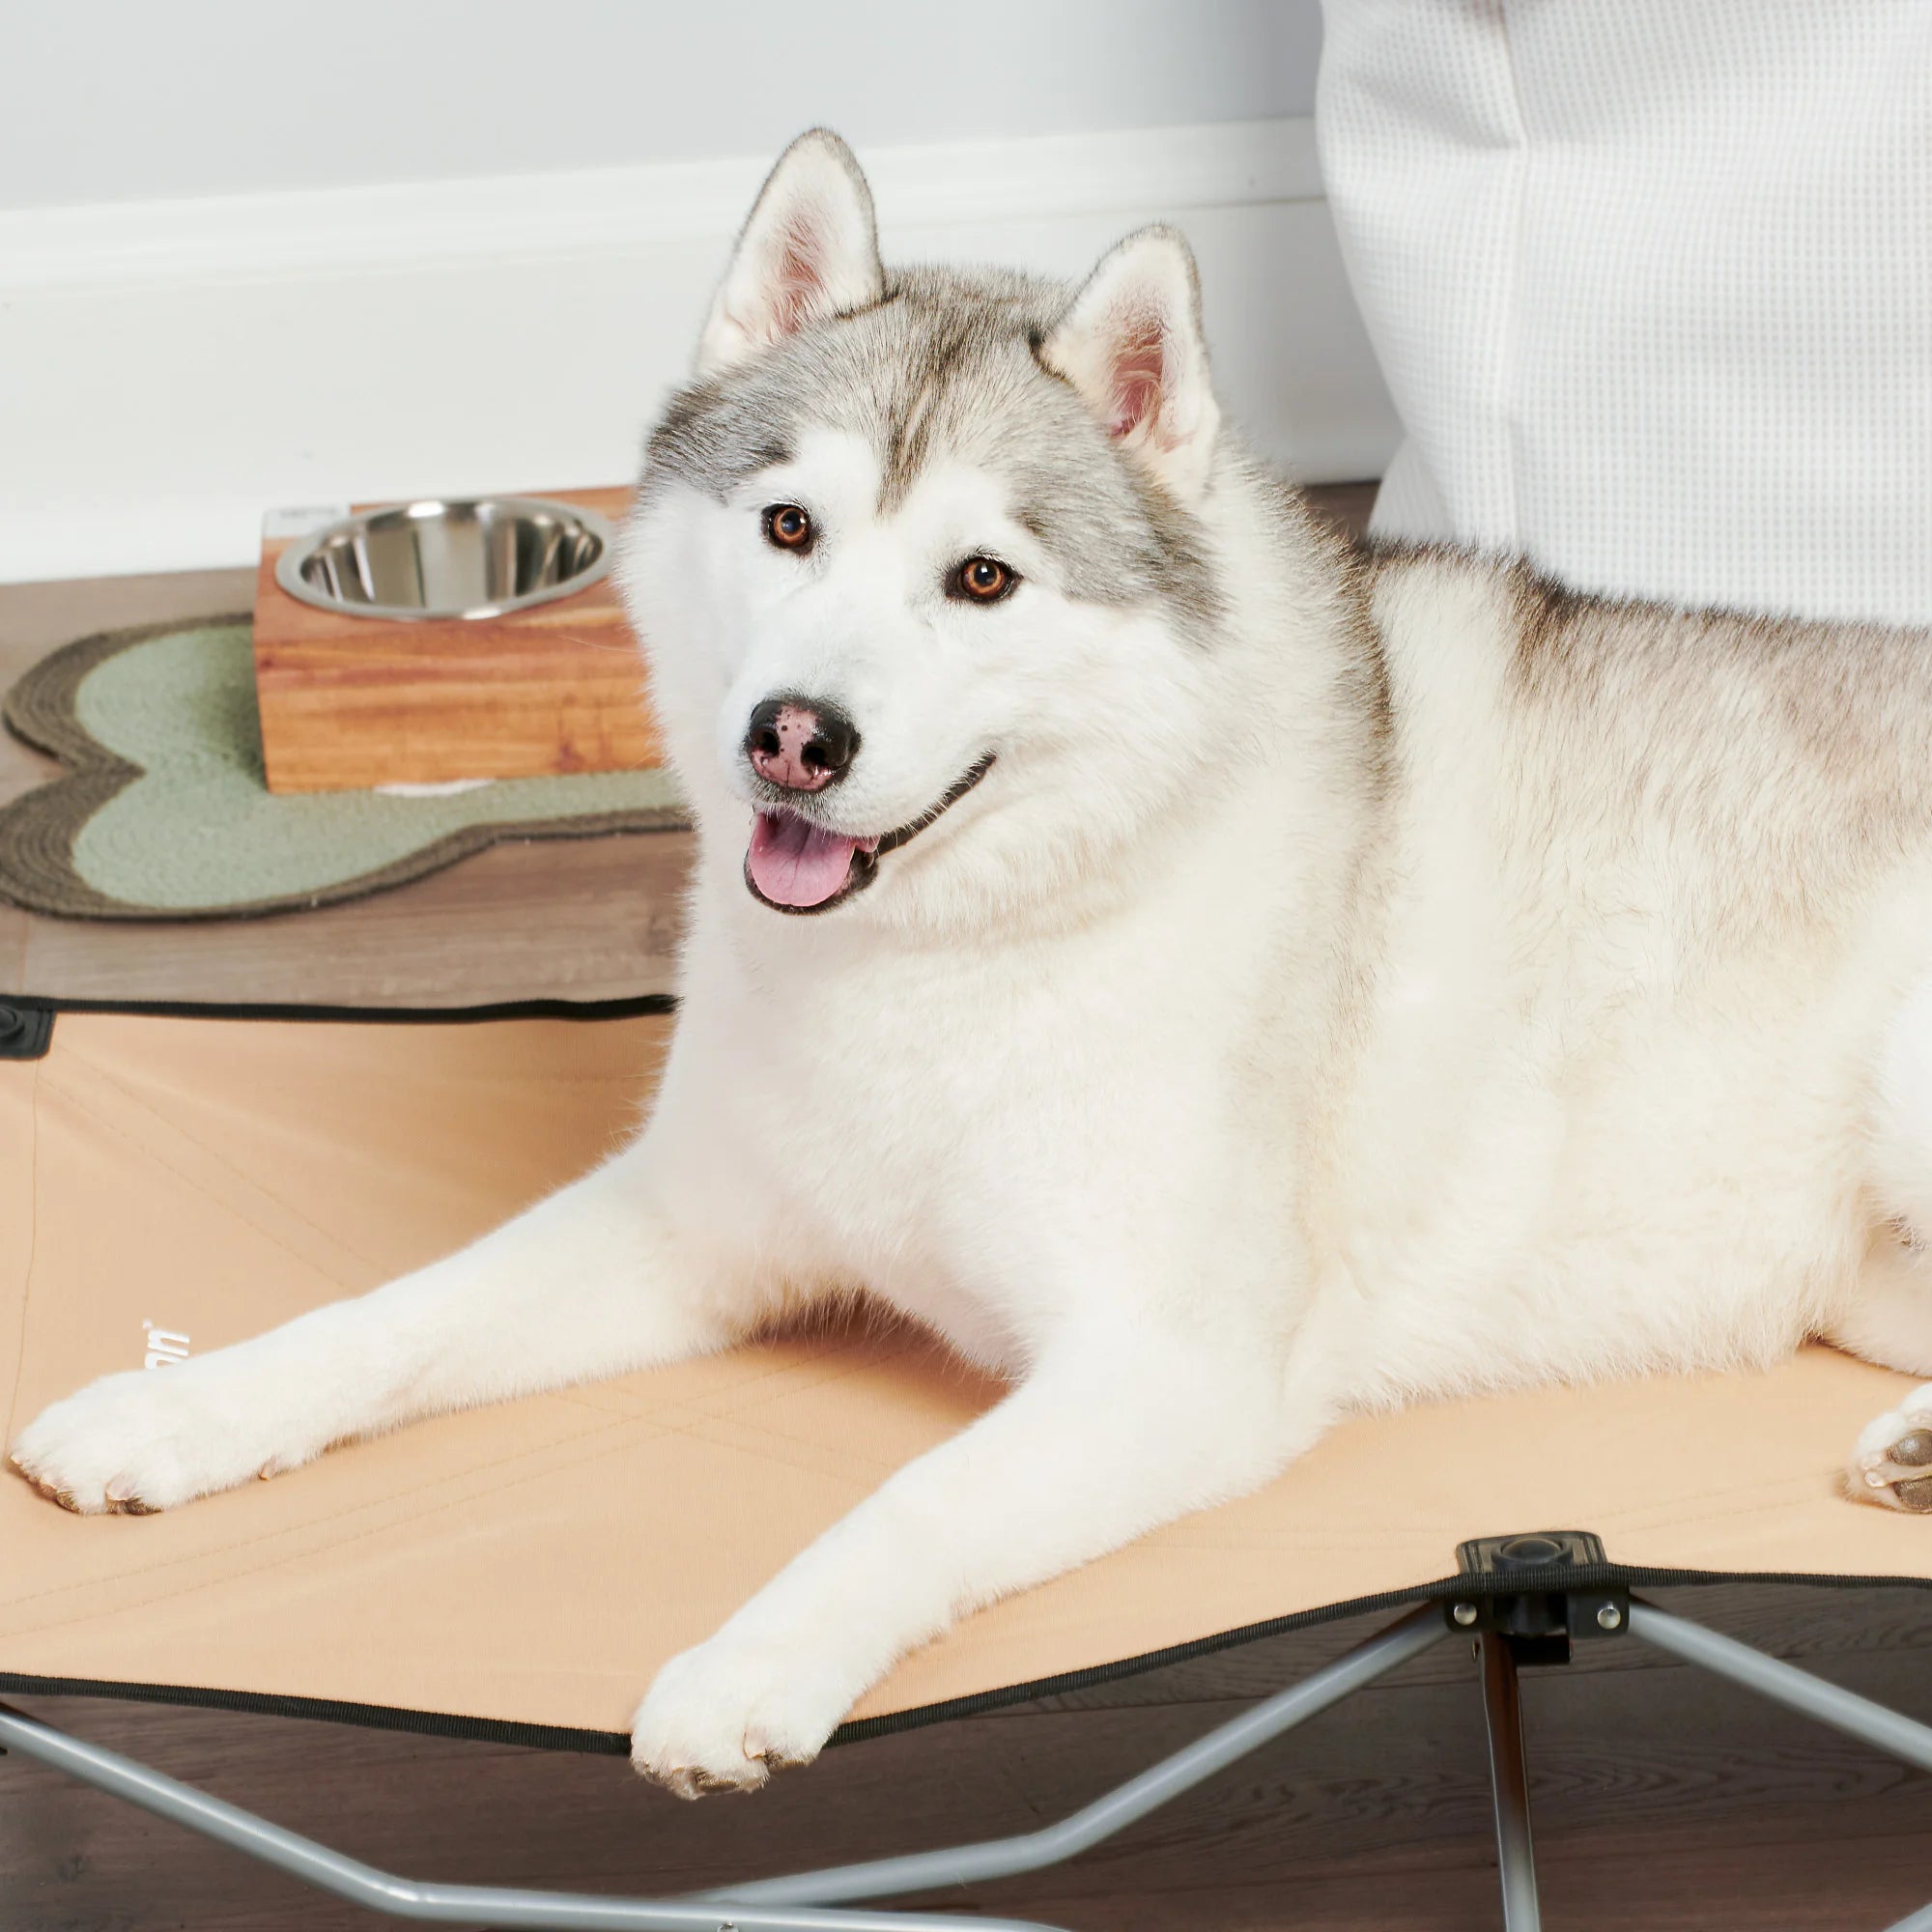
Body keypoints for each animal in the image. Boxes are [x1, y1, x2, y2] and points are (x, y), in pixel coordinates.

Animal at [11, 132, 1932, 1793]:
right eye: (789, 527)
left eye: (986, 578)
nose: (795, 737)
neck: (952, 950)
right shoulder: (691, 1228)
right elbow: (391, 1318)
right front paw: (177, 1408)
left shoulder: (1164, 1370)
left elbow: (911, 1502)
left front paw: (752, 1660)